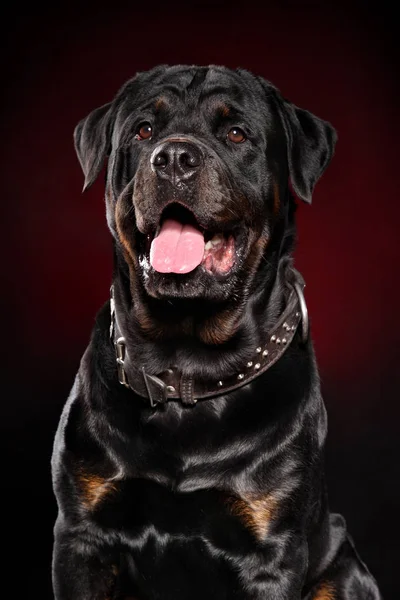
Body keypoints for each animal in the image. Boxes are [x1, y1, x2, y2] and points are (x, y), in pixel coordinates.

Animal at [52, 65, 382, 600]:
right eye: (144, 131)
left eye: (236, 133)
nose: (173, 158)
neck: (187, 368)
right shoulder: (81, 536)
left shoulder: (271, 555)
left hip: (344, 569)